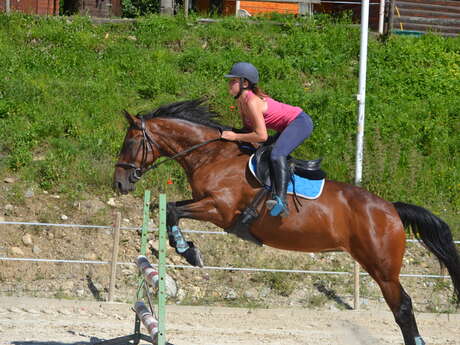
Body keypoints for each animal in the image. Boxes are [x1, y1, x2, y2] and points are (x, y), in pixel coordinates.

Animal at [112, 98, 460, 342]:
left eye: (129, 142)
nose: (119, 183)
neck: (213, 156)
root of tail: (391, 209)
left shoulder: (220, 210)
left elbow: (172, 209)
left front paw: (188, 251)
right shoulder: (208, 205)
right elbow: (167, 208)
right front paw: (183, 248)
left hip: (382, 268)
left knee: (402, 307)